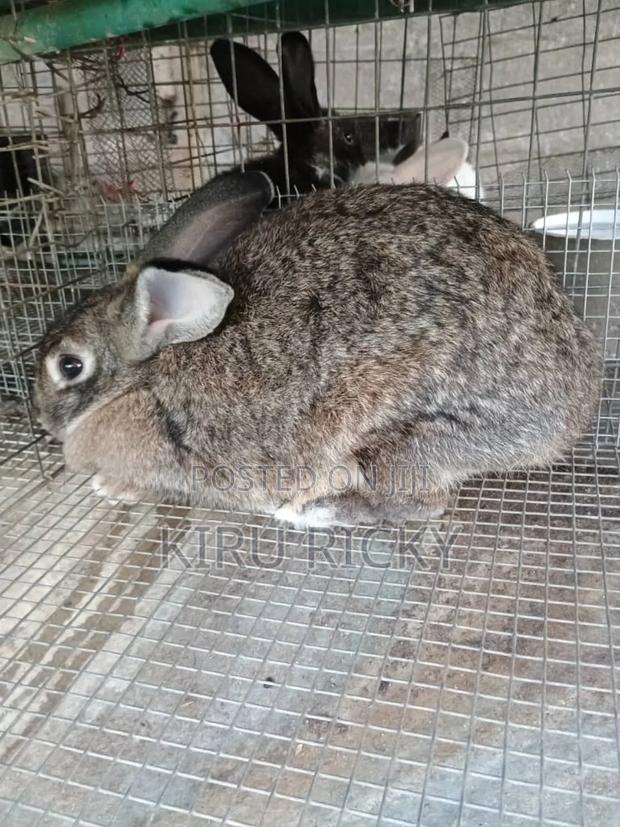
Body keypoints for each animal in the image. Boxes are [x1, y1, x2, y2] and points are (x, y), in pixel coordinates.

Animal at [34, 170, 600, 529]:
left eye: (69, 365)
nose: (39, 417)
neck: (145, 378)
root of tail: (568, 418)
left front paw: (111, 488)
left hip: (398, 435)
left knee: (421, 504)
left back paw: (310, 513)